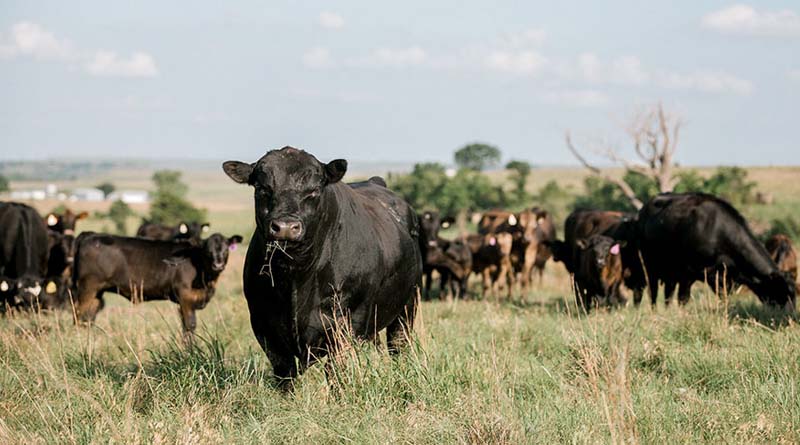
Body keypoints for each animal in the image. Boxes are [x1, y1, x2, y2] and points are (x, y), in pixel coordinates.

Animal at [72, 232, 242, 337]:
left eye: (226, 249)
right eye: (208, 251)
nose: (218, 264)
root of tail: (91, 234)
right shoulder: (185, 298)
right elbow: (190, 326)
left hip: (96, 293)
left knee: (88, 318)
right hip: (87, 288)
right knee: (78, 315)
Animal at [223, 146, 422, 389]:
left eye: (314, 190)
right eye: (262, 188)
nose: (286, 227)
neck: (296, 276)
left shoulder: (347, 321)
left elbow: (336, 370)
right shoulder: (263, 323)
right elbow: (285, 373)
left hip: (407, 305)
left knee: (399, 345)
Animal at [637, 193, 795, 309]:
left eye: (794, 295)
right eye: (781, 290)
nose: (790, 315)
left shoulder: (724, 279)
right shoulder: (689, 273)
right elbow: (684, 298)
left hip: (670, 272)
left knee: (667, 295)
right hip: (649, 267)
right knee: (653, 293)